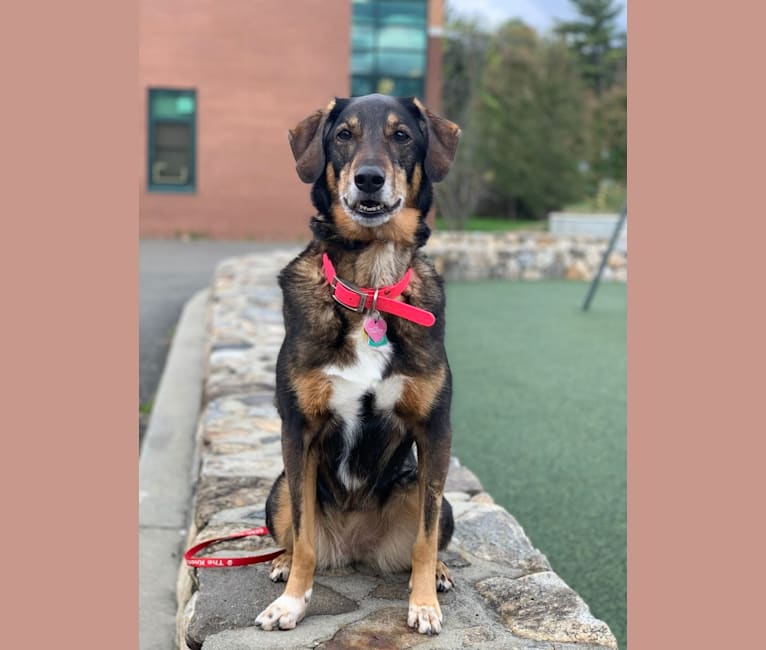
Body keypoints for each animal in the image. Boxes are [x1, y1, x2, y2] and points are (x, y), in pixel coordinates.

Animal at [256, 95, 462, 632]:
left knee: (431, 531)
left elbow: (424, 540)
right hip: (279, 487)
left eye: (402, 135)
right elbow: (305, 534)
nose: (369, 178)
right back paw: (282, 562)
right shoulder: (298, 430)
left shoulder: (436, 431)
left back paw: (441, 573)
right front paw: (292, 601)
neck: (371, 287)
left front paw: (423, 604)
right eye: (342, 135)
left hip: (433, 493)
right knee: (293, 532)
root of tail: (355, 548)